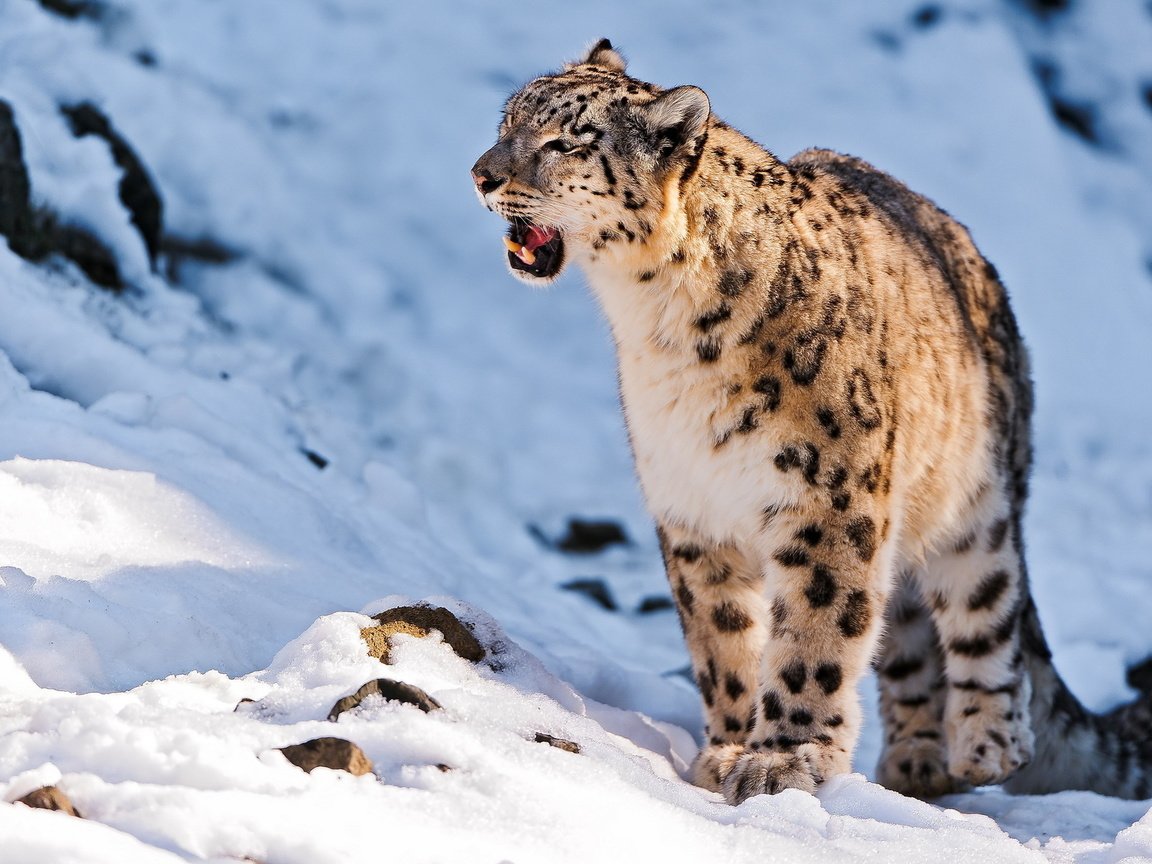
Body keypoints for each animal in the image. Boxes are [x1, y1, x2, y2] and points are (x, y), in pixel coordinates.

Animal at [470, 35, 1152, 806]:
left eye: (564, 141)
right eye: (507, 121)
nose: (481, 175)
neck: (661, 330)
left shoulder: (828, 497)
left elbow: (815, 631)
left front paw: (782, 759)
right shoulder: (691, 506)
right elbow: (721, 638)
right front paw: (728, 749)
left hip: (974, 501)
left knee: (989, 606)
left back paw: (986, 743)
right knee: (906, 631)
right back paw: (915, 762)